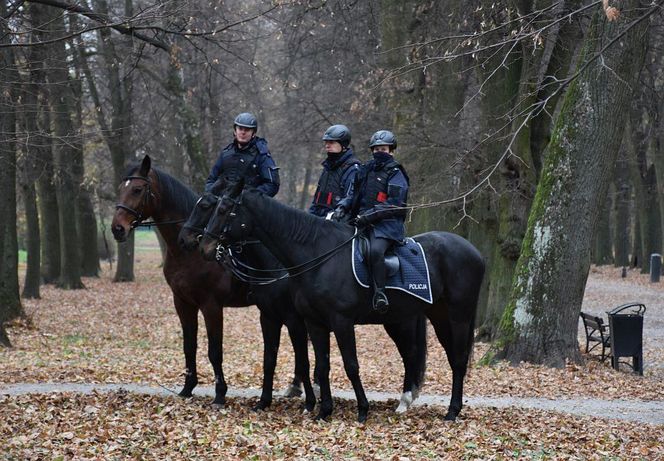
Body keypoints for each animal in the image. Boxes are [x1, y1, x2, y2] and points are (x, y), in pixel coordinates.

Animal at [111, 155, 314, 410]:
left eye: (137, 189)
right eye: (121, 188)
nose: (117, 229)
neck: (188, 253)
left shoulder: (211, 306)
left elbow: (214, 350)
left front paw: (220, 394)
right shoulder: (183, 303)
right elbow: (189, 345)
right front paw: (187, 388)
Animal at [200, 181, 486, 422]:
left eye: (224, 210)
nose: (205, 247)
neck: (317, 255)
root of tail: (474, 251)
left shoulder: (338, 321)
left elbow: (349, 365)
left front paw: (361, 410)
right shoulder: (311, 322)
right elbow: (320, 365)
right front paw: (323, 410)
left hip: (458, 316)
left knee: (457, 359)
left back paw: (452, 411)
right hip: (431, 316)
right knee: (427, 355)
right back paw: (411, 403)